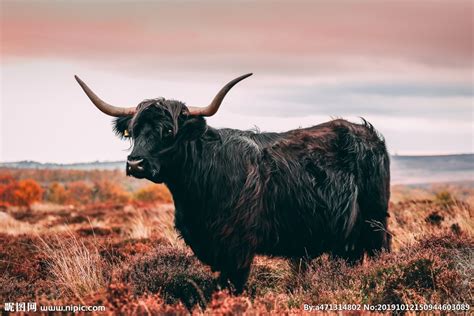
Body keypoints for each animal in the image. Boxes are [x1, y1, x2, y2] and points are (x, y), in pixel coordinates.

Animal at [76, 73, 390, 292]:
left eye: (168, 131)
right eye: (133, 130)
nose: (135, 163)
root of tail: (368, 133)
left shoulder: (238, 247)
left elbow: (233, 287)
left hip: (375, 221)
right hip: (346, 236)